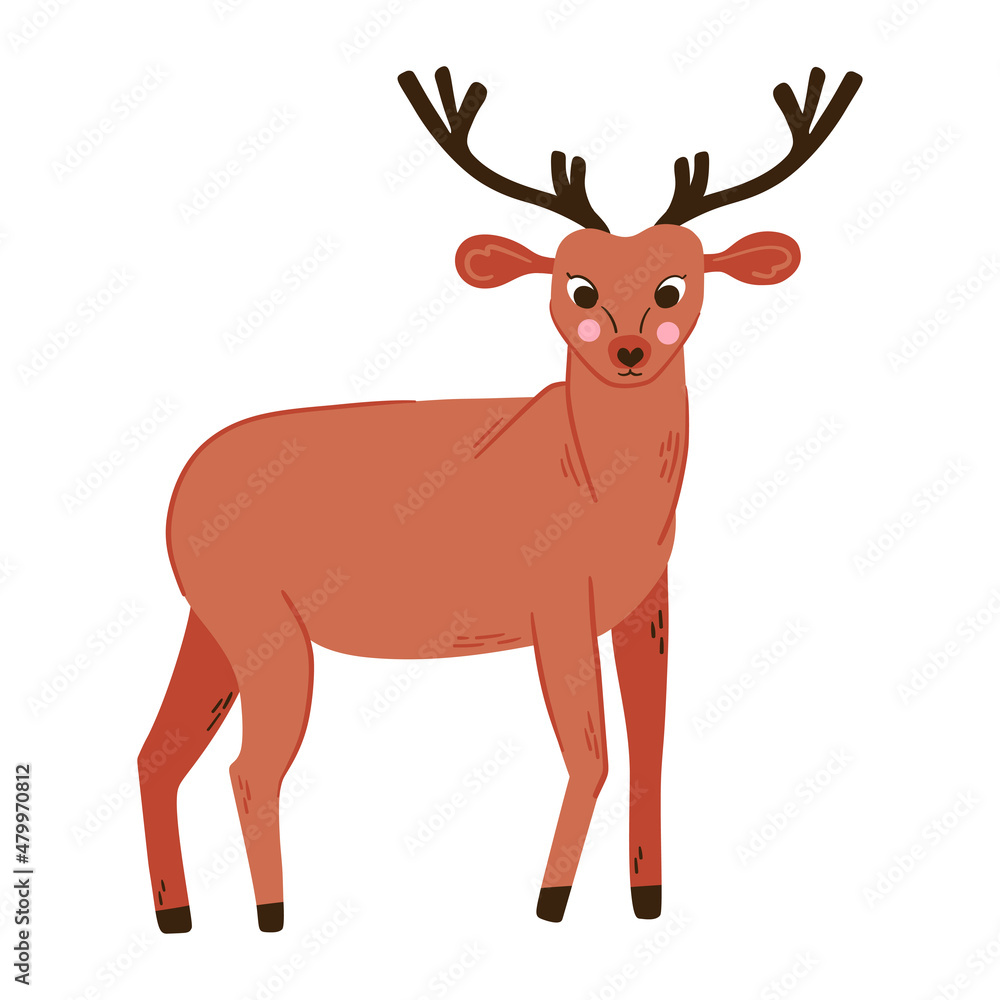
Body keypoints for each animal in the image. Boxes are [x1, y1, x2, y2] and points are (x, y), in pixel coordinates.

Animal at [138, 65, 861, 933]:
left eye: (674, 285)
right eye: (576, 285)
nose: (629, 350)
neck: (598, 483)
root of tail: (181, 487)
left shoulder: (646, 603)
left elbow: (649, 751)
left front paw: (647, 899)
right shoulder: (556, 602)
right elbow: (593, 756)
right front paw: (550, 902)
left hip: (210, 622)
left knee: (156, 755)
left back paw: (176, 916)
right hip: (263, 627)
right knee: (249, 768)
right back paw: (271, 914)